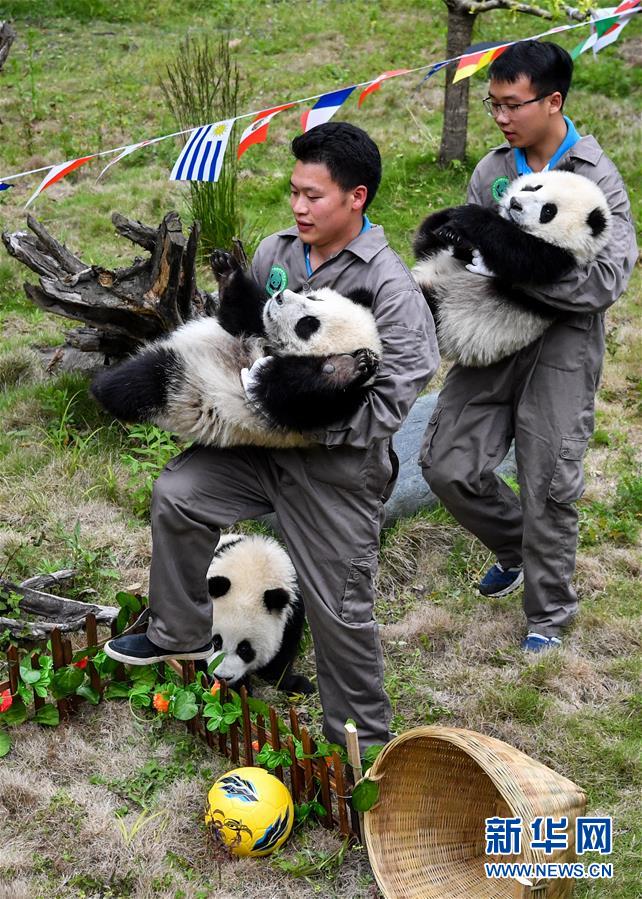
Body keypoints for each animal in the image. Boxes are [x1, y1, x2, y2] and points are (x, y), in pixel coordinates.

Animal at [410, 169, 608, 370]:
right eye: (535, 187)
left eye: (548, 211)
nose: (515, 203)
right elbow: (431, 239)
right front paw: (454, 231)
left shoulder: (556, 260)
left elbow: (517, 253)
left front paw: (474, 217)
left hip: (446, 316)